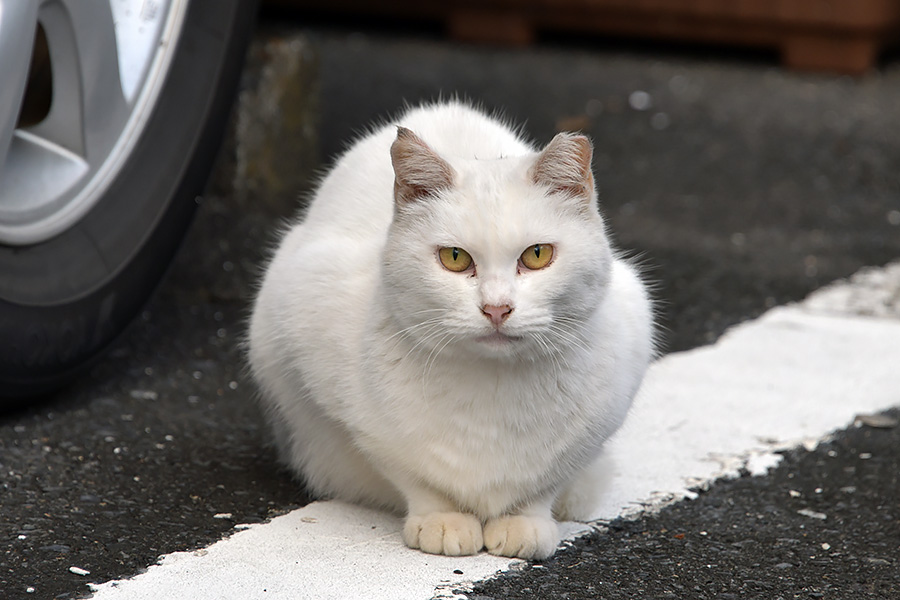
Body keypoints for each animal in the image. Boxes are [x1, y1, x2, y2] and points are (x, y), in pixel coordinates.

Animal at [248, 101, 652, 560]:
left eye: (537, 254)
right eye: (454, 258)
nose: (496, 308)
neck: (493, 389)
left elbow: (542, 484)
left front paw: (524, 522)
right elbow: (414, 475)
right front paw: (442, 521)